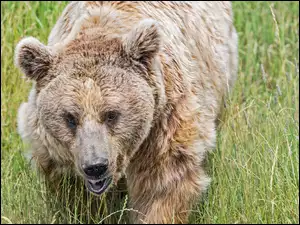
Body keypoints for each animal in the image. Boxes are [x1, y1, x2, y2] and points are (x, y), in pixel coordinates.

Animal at [15, 1, 238, 223]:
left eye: (111, 114)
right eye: (70, 117)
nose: (95, 166)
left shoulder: (164, 122)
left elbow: (162, 187)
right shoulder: (54, 151)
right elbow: (75, 197)